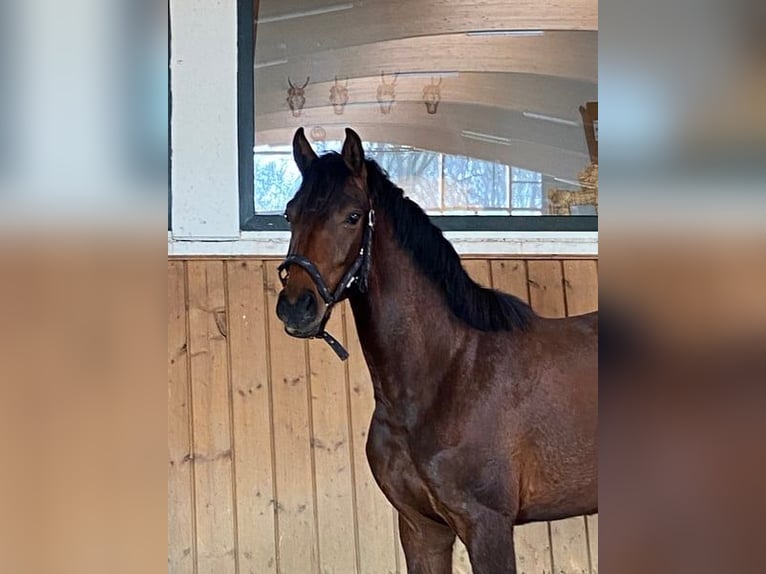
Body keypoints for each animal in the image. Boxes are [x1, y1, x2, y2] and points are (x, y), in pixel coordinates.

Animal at [278, 128, 600, 572]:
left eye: (353, 216)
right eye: (290, 214)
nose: (296, 305)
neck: (450, 372)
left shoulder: (488, 526)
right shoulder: (421, 529)